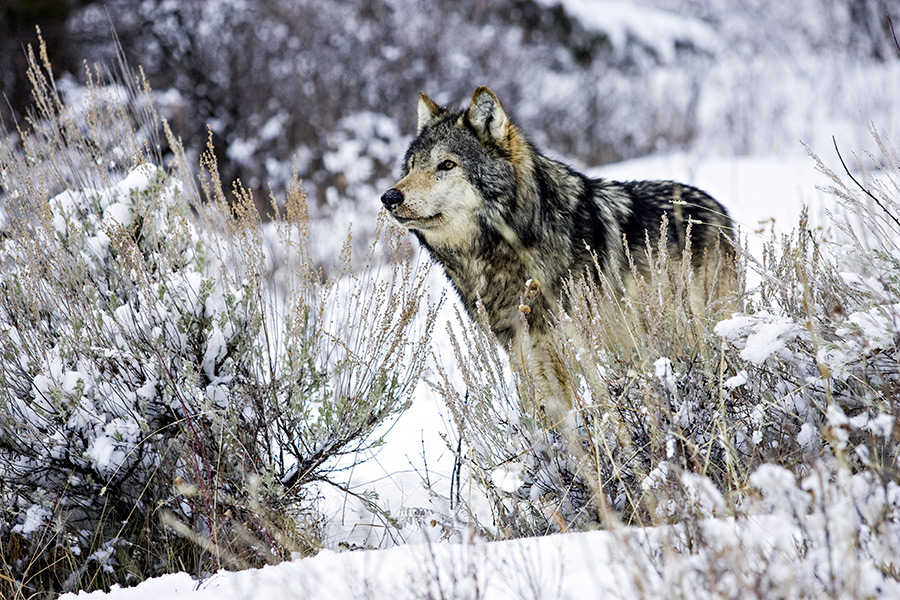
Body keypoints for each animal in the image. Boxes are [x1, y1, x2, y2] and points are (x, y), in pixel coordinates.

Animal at [381, 87, 734, 415]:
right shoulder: (524, 357)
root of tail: (717, 207)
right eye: (411, 166)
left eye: (447, 164)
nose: (389, 197)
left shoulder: (569, 354)